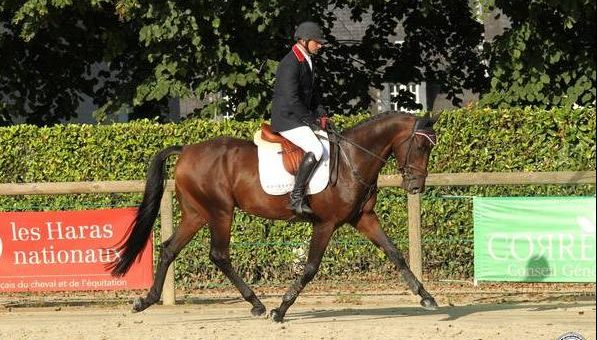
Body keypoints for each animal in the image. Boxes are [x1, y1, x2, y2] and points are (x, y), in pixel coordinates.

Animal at [110, 111, 438, 322]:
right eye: (421, 145)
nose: (416, 186)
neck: (351, 161)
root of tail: (187, 149)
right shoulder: (326, 224)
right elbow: (310, 268)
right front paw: (281, 310)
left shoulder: (364, 218)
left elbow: (395, 253)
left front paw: (426, 296)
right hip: (220, 211)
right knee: (219, 254)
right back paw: (257, 303)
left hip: (196, 213)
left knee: (169, 249)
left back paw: (146, 300)